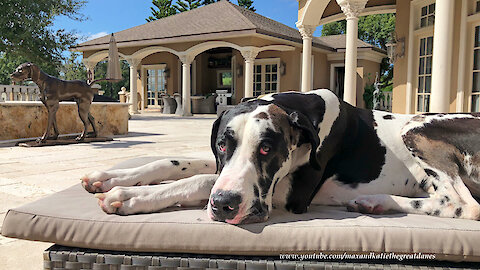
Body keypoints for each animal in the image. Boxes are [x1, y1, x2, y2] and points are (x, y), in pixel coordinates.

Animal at [80, 89, 478, 223]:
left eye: (267, 148)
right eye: (222, 144)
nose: (224, 206)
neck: (298, 107)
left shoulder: (290, 192)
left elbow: (200, 180)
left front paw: (129, 196)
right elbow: (178, 162)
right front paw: (111, 178)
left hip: (419, 130)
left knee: (462, 205)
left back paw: (376, 200)